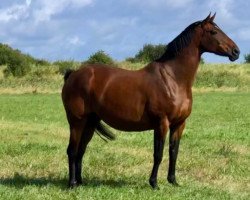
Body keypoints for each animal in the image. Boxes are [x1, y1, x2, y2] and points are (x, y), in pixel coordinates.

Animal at [61, 13, 239, 189]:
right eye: (213, 32)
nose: (236, 51)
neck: (173, 79)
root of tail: (73, 74)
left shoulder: (179, 124)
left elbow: (174, 152)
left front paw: (173, 181)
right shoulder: (162, 123)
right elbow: (158, 154)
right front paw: (154, 183)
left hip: (90, 121)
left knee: (81, 150)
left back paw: (80, 182)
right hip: (76, 121)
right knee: (72, 150)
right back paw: (72, 184)